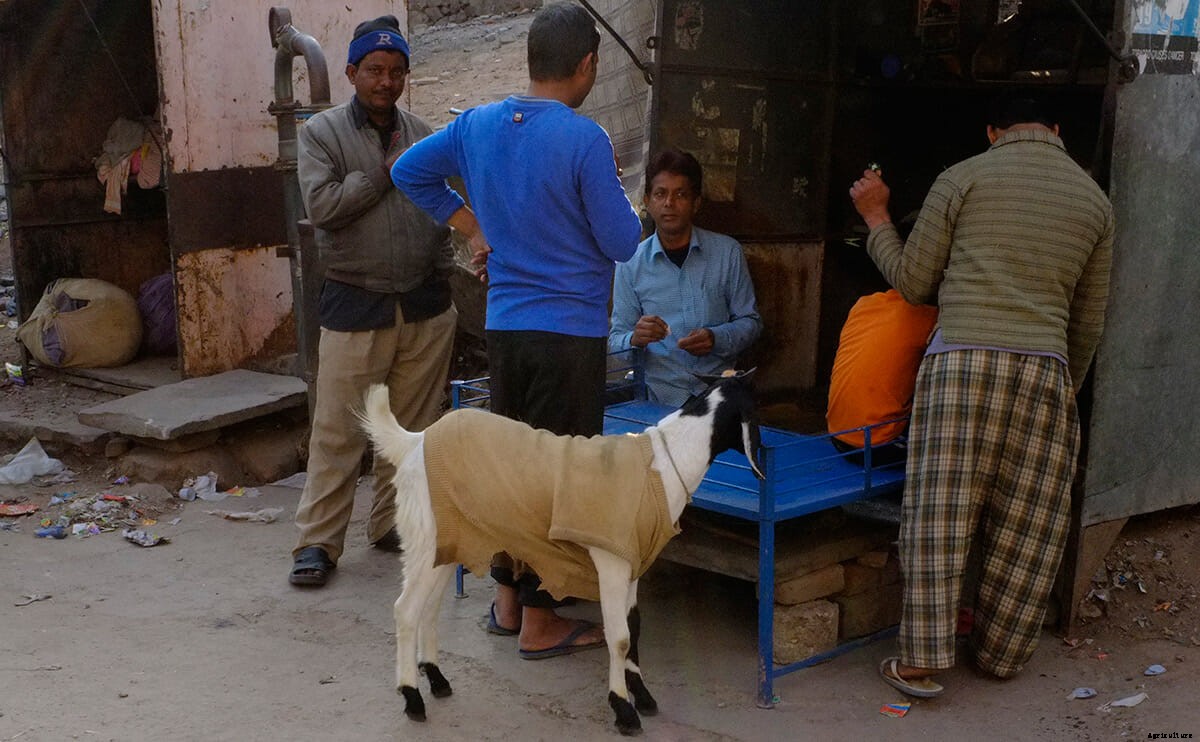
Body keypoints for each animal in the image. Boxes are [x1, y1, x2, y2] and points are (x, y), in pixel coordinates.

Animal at [360, 372, 764, 735]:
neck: (662, 464)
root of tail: (415, 441)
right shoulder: (611, 561)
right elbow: (619, 636)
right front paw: (623, 710)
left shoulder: (633, 563)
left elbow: (633, 628)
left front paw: (642, 696)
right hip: (425, 534)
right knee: (406, 610)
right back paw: (412, 698)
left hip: (449, 537)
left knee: (429, 607)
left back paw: (437, 679)